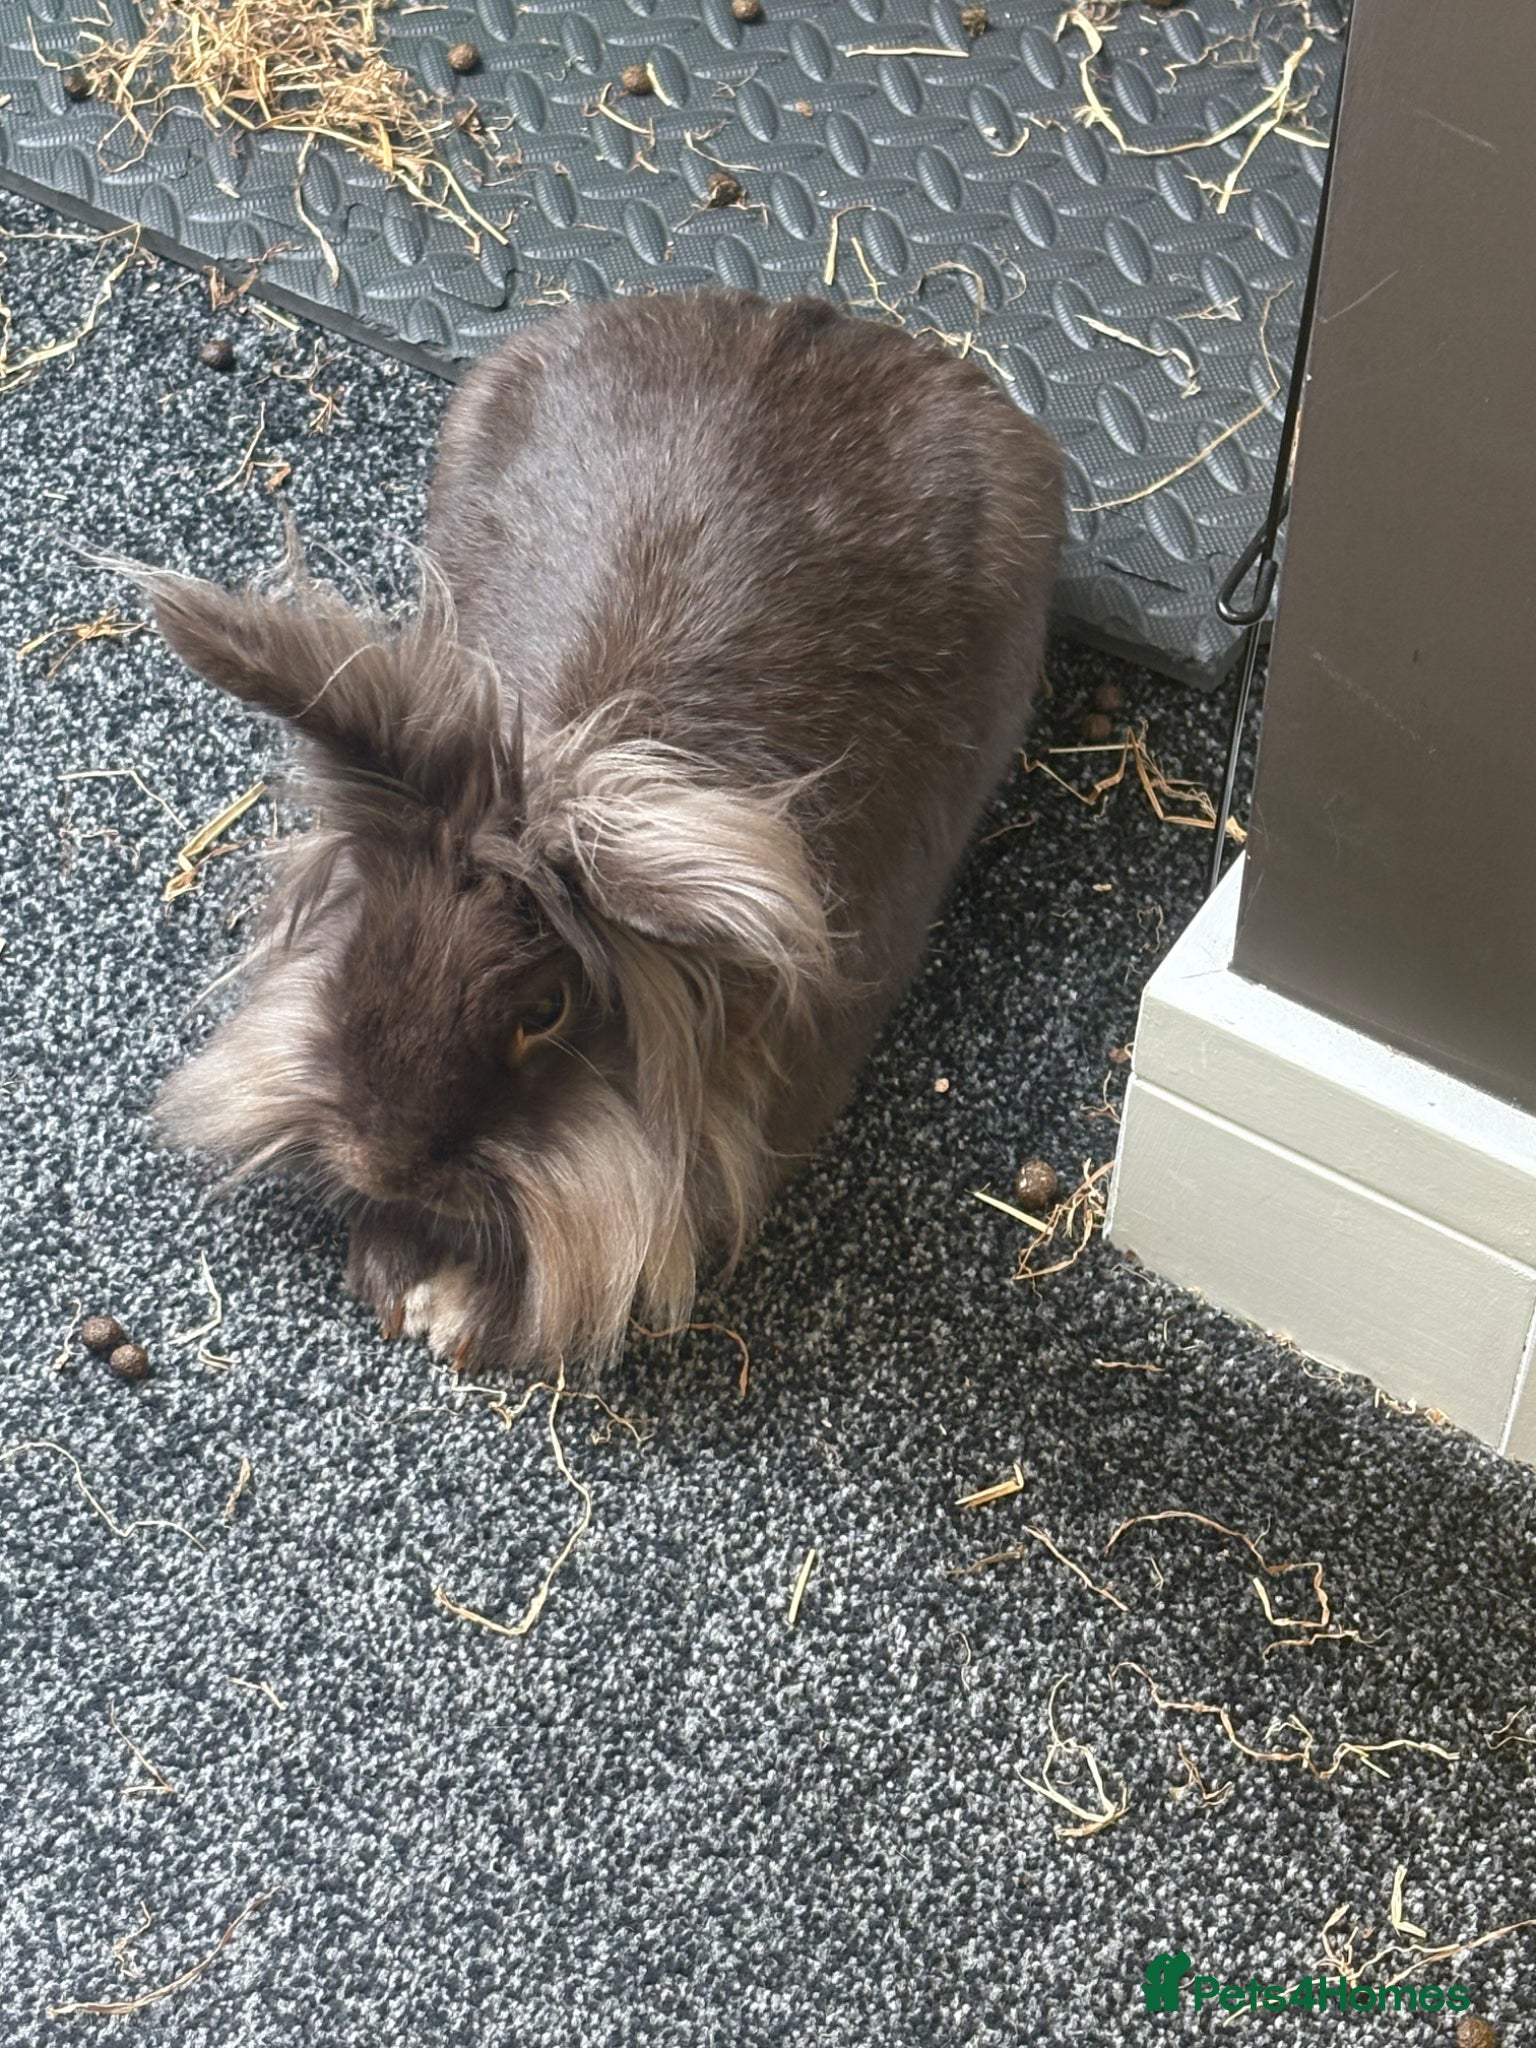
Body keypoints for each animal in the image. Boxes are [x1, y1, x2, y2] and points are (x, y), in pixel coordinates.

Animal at [142, 291, 1065, 1381]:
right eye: (373, 939)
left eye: (544, 1010)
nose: (382, 1160)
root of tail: (820, 318)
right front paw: (396, 1267)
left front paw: (460, 1307)